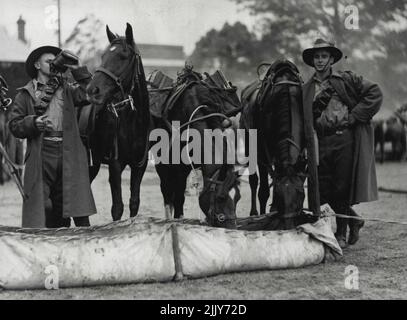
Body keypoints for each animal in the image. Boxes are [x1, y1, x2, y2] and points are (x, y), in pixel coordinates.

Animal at [85, 23, 151, 221]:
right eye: (103, 56)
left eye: (123, 56)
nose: (92, 90)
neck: (132, 122)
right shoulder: (115, 166)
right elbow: (117, 208)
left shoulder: (139, 165)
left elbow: (134, 203)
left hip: (93, 164)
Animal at [152, 66, 242, 229]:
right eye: (220, 197)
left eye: (238, 197)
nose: (232, 226)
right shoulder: (174, 168)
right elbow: (176, 196)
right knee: (168, 192)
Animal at [241, 60, 308, 230]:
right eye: (278, 195)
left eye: (301, 194)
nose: (289, 224)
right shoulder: (262, 152)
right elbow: (264, 190)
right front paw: (263, 217)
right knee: (254, 181)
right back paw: (254, 213)